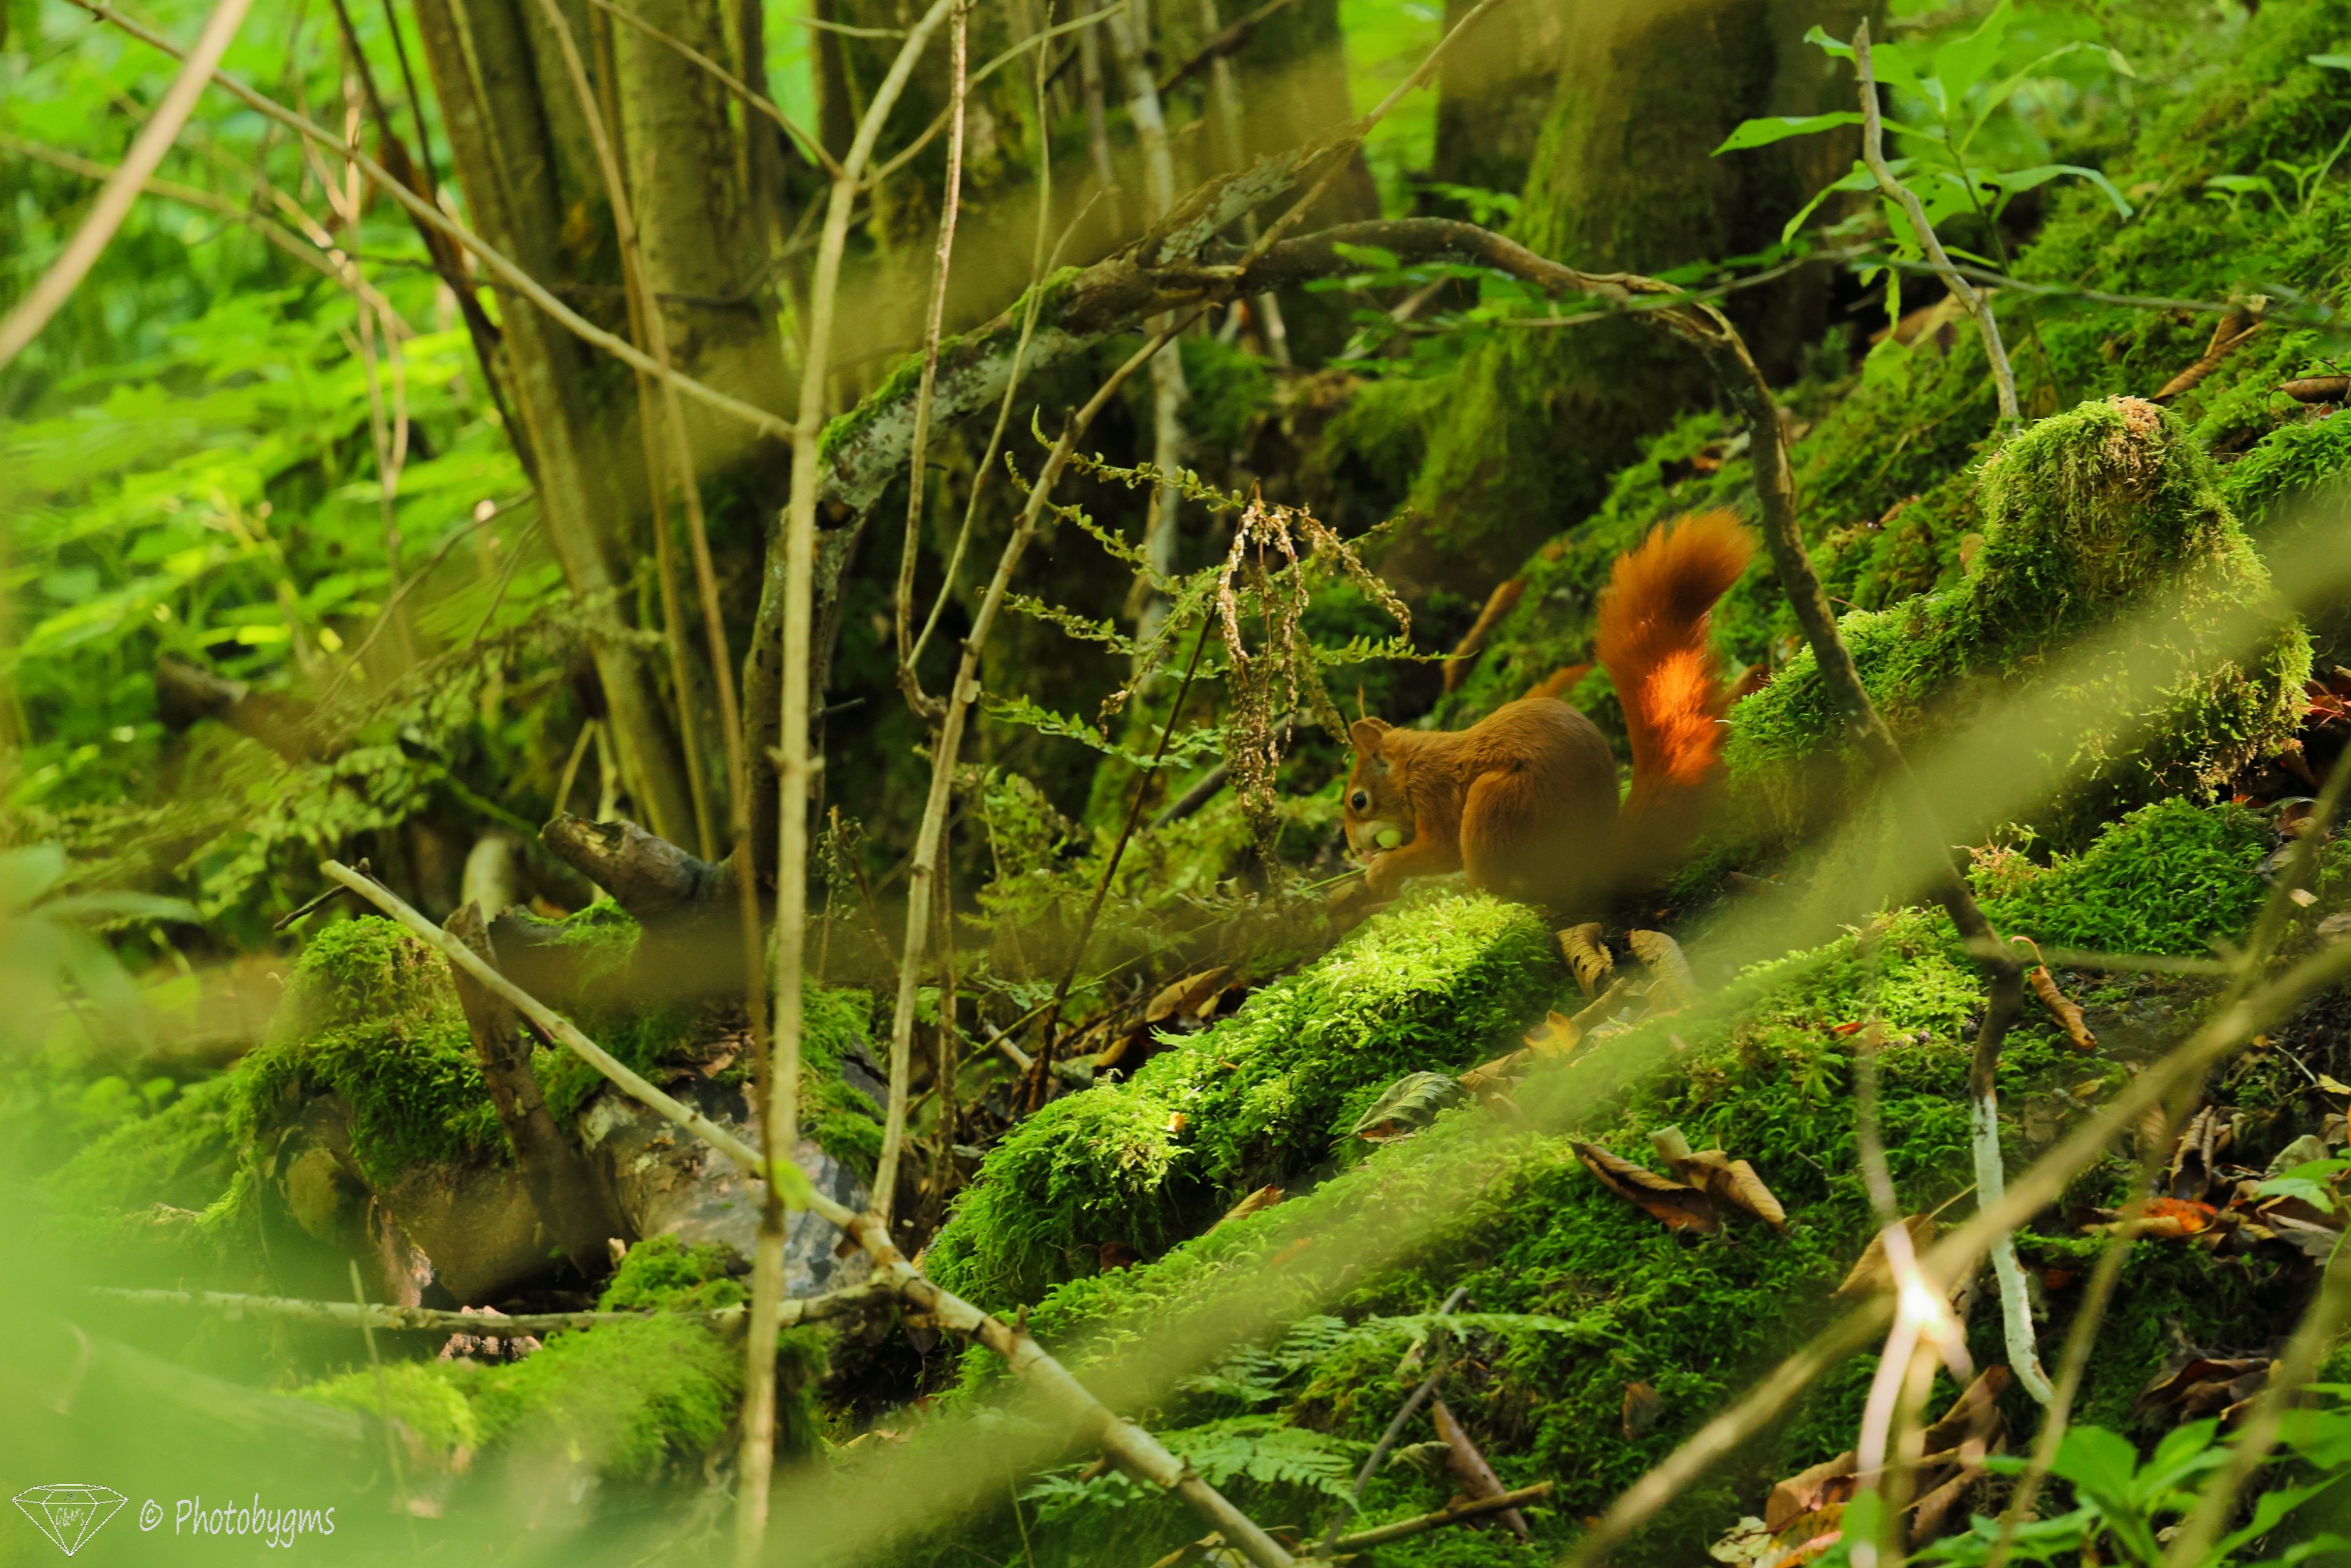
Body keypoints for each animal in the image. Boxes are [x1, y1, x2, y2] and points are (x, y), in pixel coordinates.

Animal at [1341, 509, 1755, 915]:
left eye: (1358, 800)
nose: (1357, 851)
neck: (1411, 767)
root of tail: (1590, 864)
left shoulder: (1435, 794)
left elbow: (1440, 848)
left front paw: (1382, 870)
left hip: (1497, 800)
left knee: (1497, 884)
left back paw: (1455, 888)